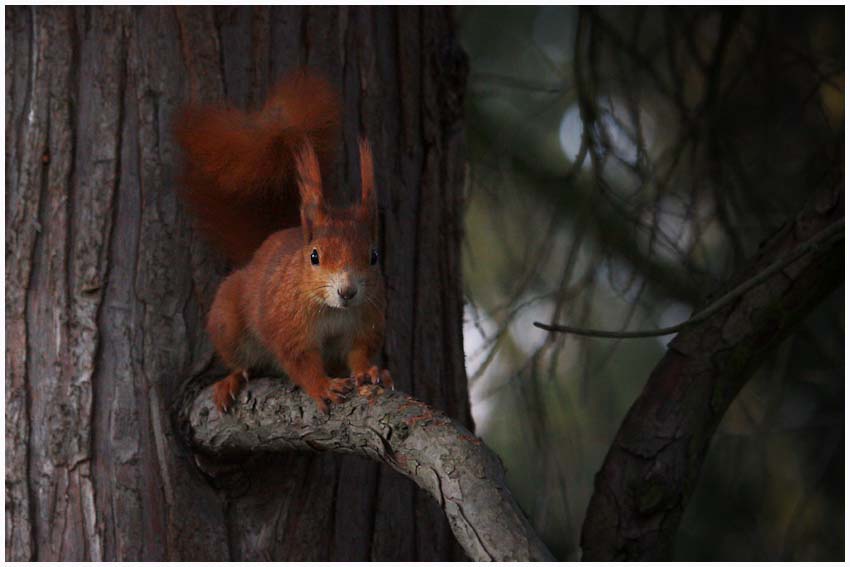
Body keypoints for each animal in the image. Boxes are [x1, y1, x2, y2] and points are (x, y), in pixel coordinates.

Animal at [178, 73, 394, 414]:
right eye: (314, 256)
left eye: (374, 256)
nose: (347, 291)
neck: (332, 311)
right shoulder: (288, 327)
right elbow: (301, 362)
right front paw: (323, 387)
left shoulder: (366, 321)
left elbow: (359, 352)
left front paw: (371, 372)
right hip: (228, 320)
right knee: (240, 361)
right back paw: (231, 380)